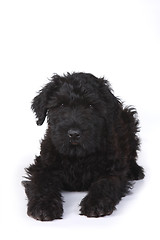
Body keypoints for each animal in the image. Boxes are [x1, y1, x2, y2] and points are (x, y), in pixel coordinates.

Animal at [21, 72, 144, 220]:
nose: (74, 134)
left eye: (91, 106)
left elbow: (104, 184)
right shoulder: (42, 166)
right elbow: (42, 184)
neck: (77, 156)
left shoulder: (113, 170)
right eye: (61, 104)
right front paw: (44, 206)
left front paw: (95, 204)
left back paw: (135, 170)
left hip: (130, 121)